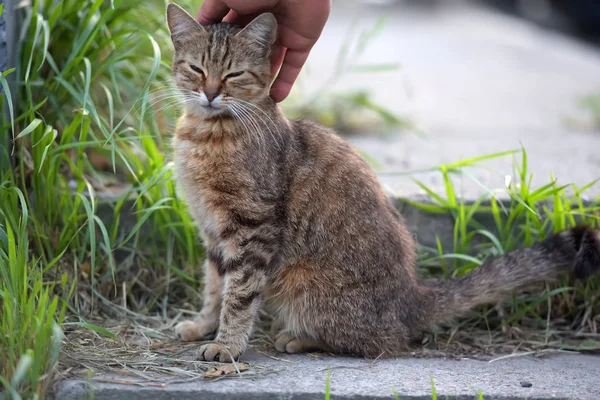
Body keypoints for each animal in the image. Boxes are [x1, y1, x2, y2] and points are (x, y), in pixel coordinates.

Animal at [165, 2, 600, 362]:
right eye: (197, 70)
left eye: (234, 74)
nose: (210, 93)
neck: (205, 133)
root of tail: (411, 298)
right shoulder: (213, 232)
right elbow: (214, 286)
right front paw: (204, 325)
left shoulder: (252, 229)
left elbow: (239, 294)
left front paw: (227, 344)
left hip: (305, 286)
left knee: (381, 342)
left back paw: (298, 337)